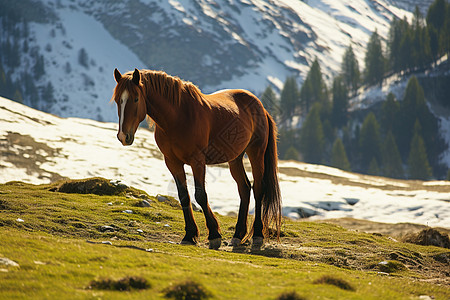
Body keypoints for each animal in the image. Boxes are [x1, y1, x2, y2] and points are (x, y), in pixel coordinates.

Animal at [111, 68, 282, 248]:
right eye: (117, 100)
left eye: (136, 98)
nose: (123, 136)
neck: (178, 117)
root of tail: (260, 107)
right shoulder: (172, 162)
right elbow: (183, 196)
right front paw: (189, 235)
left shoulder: (197, 161)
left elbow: (200, 195)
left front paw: (214, 235)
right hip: (235, 158)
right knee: (244, 188)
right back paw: (237, 235)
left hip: (256, 153)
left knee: (258, 189)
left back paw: (257, 235)